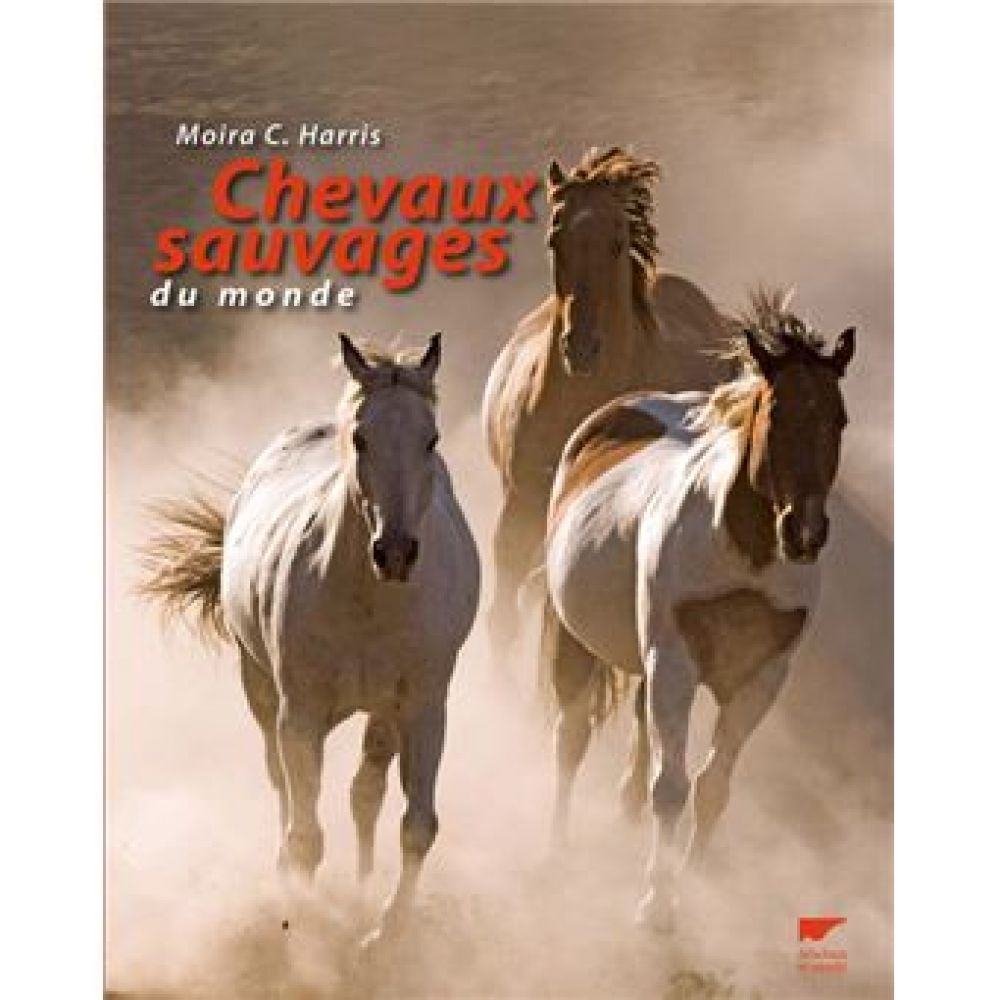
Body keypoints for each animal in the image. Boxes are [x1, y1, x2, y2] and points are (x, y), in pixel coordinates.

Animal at [139, 334, 480, 946]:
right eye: (361, 437)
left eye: (432, 439)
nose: (396, 552)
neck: (369, 601)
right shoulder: (298, 714)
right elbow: (304, 836)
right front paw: (299, 927)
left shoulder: (423, 708)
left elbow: (417, 825)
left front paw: (387, 932)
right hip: (259, 688)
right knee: (283, 788)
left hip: (382, 713)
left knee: (365, 794)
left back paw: (365, 888)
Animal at [541, 288, 855, 929]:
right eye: (777, 415)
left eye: (838, 419)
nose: (805, 533)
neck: (744, 554)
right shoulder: (676, 664)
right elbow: (672, 786)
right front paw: (657, 903)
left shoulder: (761, 678)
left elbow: (713, 788)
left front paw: (695, 888)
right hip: (575, 641)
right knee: (571, 738)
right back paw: (557, 850)